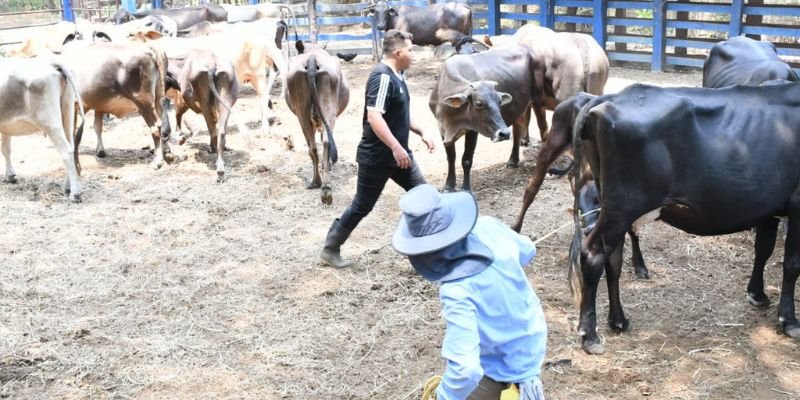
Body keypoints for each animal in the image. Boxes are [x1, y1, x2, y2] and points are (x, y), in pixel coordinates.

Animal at [0, 56, 86, 203]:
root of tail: (52, 63)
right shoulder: (6, 124)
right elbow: (6, 149)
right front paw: (10, 176)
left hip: (50, 122)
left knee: (66, 151)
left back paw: (75, 194)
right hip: (67, 113)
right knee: (72, 146)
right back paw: (67, 188)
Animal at [288, 42, 350, 205]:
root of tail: (312, 58)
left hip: (303, 113)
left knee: (316, 146)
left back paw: (319, 184)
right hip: (325, 110)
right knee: (324, 143)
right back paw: (324, 187)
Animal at [564, 83, 800, 354]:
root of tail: (609, 97)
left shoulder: (770, 207)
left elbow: (763, 249)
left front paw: (757, 295)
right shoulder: (797, 204)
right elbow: (792, 264)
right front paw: (789, 320)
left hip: (612, 206)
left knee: (612, 260)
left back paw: (618, 321)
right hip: (622, 207)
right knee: (593, 256)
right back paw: (590, 335)